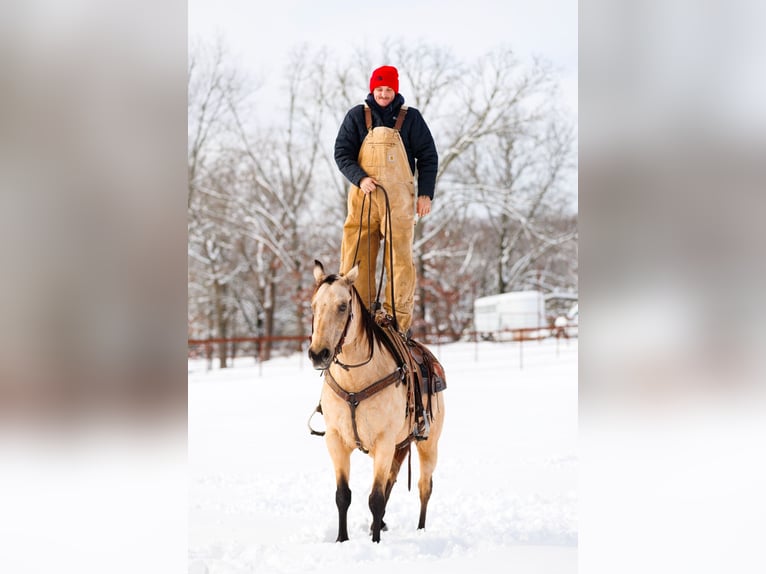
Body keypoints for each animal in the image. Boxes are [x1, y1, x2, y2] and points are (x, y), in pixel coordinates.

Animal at [308, 260, 448, 544]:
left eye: (342, 306)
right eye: (313, 306)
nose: (318, 354)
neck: (356, 383)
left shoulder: (384, 441)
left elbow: (376, 498)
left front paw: (374, 543)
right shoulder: (336, 441)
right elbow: (343, 496)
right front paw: (342, 540)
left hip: (428, 444)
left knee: (423, 487)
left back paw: (420, 529)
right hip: (399, 445)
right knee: (392, 483)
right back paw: (380, 524)